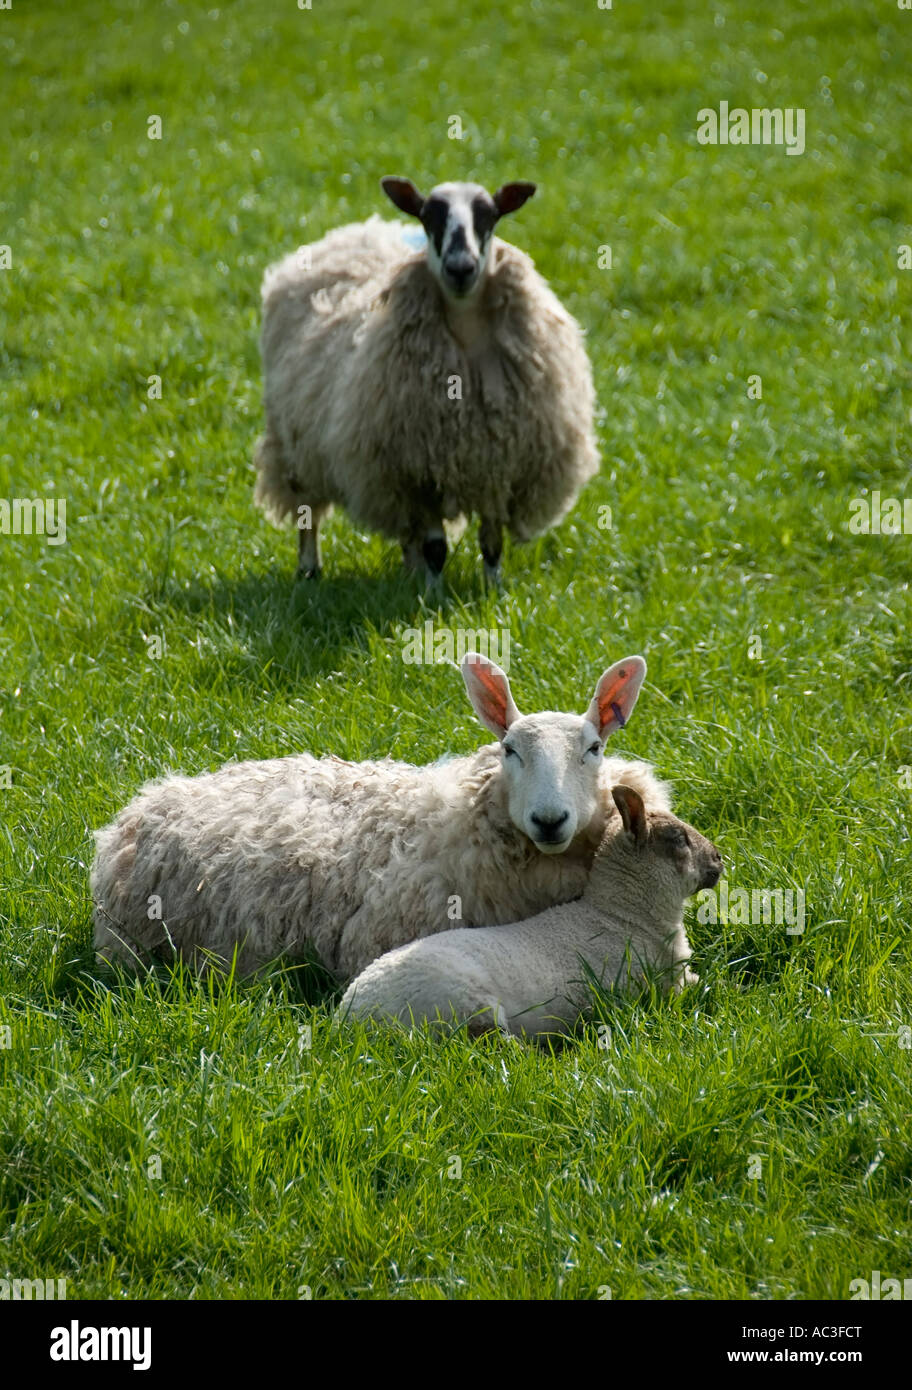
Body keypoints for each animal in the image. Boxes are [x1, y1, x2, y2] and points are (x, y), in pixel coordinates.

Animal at [253, 176, 600, 582]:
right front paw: (433, 592)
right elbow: (437, 548)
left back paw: (410, 571)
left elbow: (492, 544)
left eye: (489, 215)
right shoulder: (419, 470)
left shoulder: (498, 463)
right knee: (308, 514)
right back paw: (310, 569)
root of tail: (361, 229)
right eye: (428, 215)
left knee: (408, 531)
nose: (460, 267)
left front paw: (493, 588)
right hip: (297, 446)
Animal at [338, 786, 723, 1041]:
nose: (720, 859)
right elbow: (706, 987)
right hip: (463, 1004)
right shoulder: (663, 987)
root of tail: (354, 1015)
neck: (621, 915)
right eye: (678, 838)